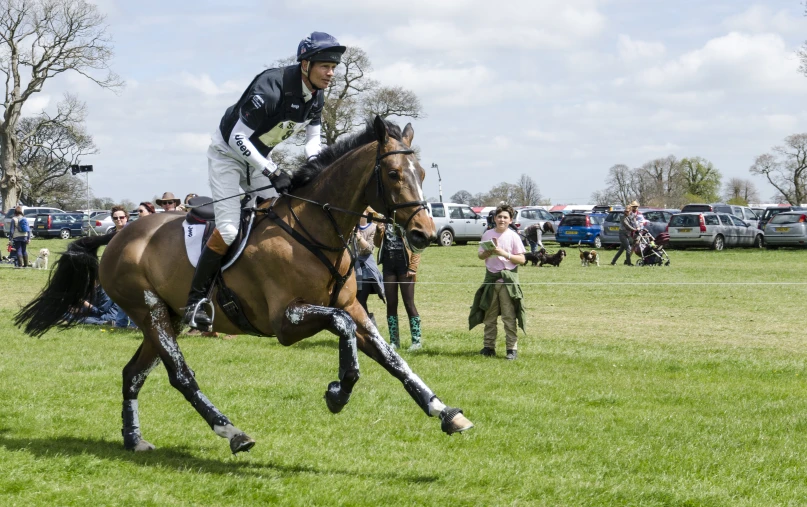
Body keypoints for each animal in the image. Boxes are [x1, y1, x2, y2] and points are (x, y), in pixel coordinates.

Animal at [15, 117, 476, 454]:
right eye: (395, 174)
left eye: (422, 172)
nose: (423, 233)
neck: (314, 229)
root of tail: (117, 232)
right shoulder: (287, 322)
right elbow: (342, 329)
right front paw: (338, 391)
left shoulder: (356, 308)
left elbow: (392, 358)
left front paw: (445, 411)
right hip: (151, 313)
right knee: (181, 376)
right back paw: (232, 432)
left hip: (164, 318)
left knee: (133, 374)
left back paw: (134, 439)